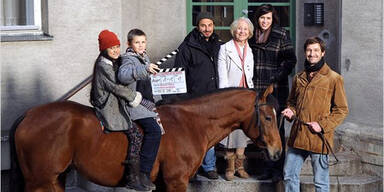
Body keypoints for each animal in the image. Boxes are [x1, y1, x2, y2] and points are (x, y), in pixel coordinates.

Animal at [9, 85, 282, 192]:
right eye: (268, 117)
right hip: (39, 181)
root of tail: (29, 114)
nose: (278, 151)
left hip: (55, 179)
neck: (191, 123)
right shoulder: (176, 182)